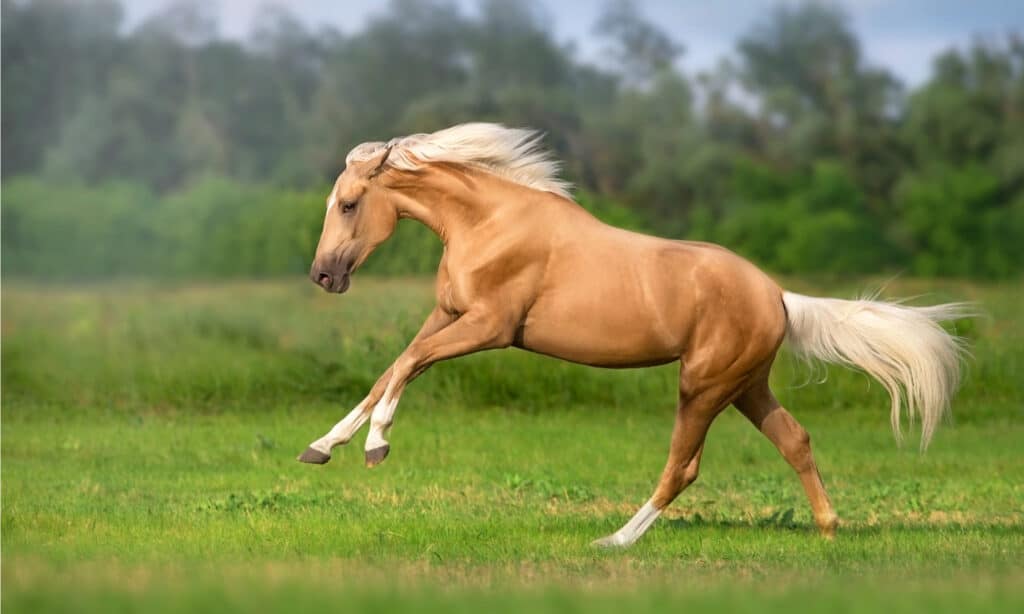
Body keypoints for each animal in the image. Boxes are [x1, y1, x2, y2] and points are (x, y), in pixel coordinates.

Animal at [299, 124, 966, 548]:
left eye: (351, 203)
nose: (324, 275)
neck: (489, 223)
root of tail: (779, 297)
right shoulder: (447, 316)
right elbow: (392, 367)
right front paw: (323, 446)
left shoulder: (490, 328)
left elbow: (409, 364)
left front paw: (376, 446)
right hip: (747, 387)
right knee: (795, 440)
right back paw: (828, 530)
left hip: (702, 386)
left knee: (684, 467)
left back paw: (615, 539)